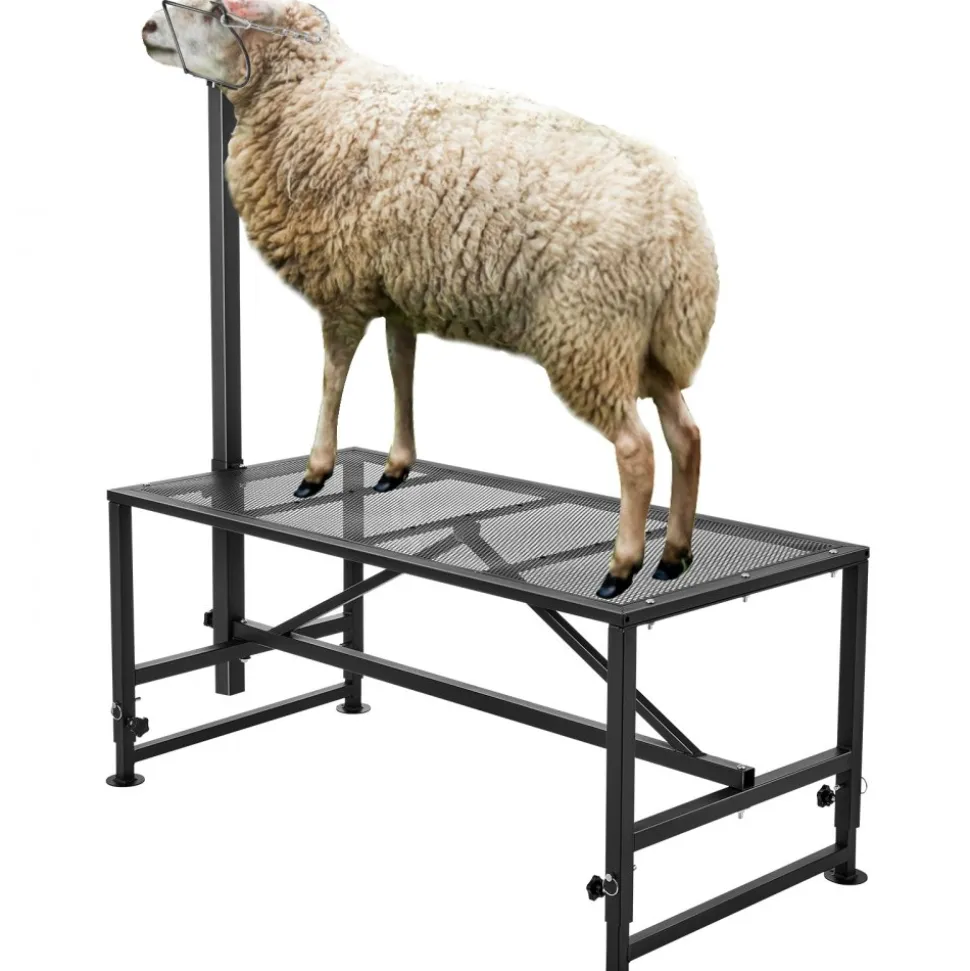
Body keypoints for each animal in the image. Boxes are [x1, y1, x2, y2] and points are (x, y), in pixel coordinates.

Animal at [142, 0, 719, 599]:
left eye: (218, 12)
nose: (147, 28)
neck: (312, 95)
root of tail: (681, 229)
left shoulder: (343, 285)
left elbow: (332, 377)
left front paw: (315, 469)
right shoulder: (399, 291)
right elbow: (402, 370)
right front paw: (396, 465)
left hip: (589, 334)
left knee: (637, 450)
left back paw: (622, 567)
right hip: (644, 344)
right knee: (686, 436)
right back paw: (674, 555)